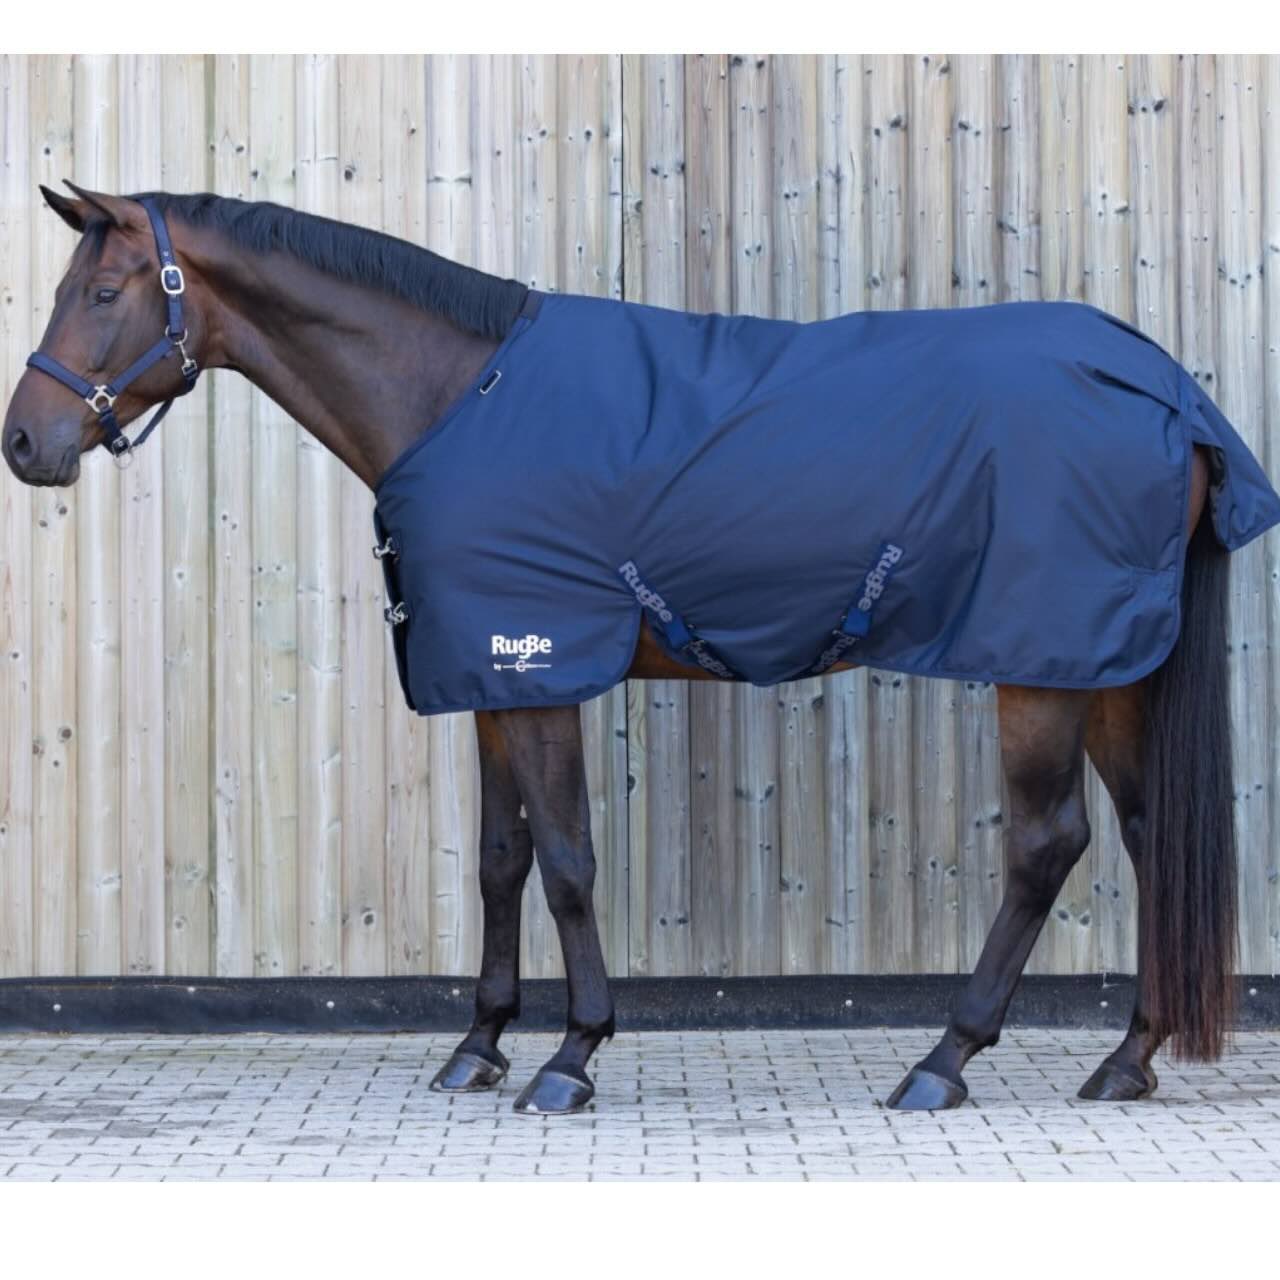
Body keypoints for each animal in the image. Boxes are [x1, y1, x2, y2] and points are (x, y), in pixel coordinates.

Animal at [2, 182, 1270, 1117]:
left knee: (1047, 845)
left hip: (1037, 666)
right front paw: (478, 1044)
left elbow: (566, 860)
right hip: (1105, 668)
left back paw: (941, 1061)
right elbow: (500, 860)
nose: (26, 442)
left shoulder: (539, 665)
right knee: (1153, 837)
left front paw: (571, 1055)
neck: (460, 394)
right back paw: (1125, 1058)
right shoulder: (488, 673)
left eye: (104, 290)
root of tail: (1165, 390)